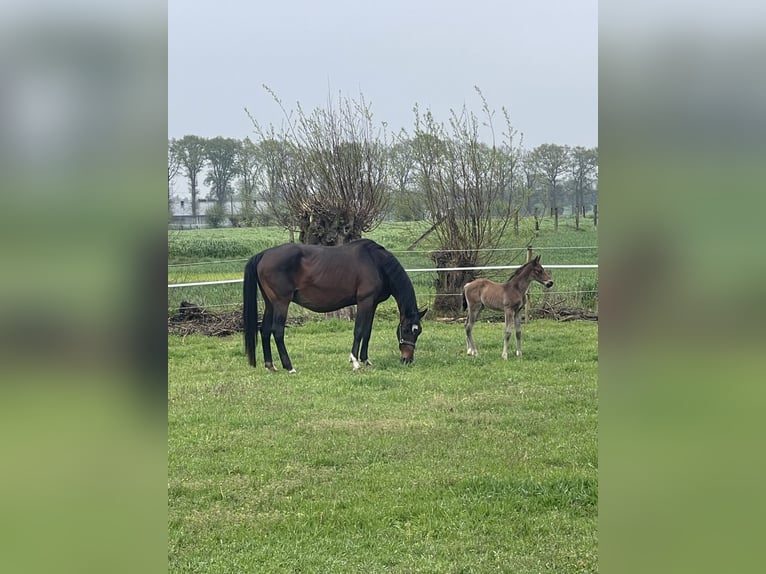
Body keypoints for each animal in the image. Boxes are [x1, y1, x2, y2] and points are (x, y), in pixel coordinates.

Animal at [243, 239, 427, 373]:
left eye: (418, 332)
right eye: (405, 330)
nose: (407, 359)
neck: (376, 262)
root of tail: (264, 254)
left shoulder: (373, 304)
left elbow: (367, 331)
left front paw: (366, 360)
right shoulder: (364, 301)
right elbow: (359, 331)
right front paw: (355, 362)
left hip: (270, 304)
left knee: (265, 330)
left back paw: (270, 365)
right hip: (282, 303)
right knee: (277, 331)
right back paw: (289, 367)